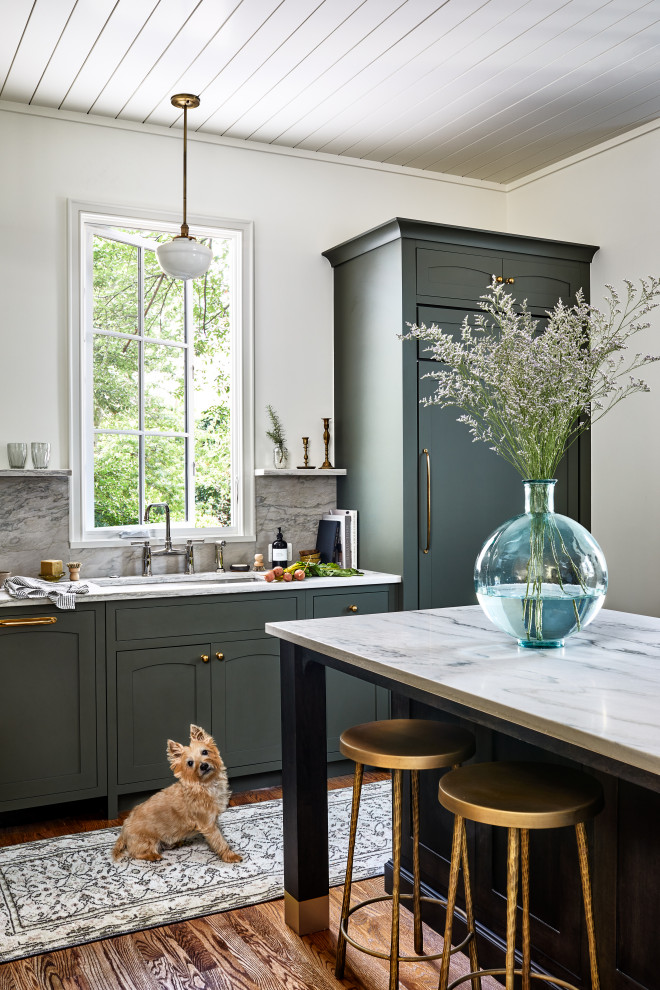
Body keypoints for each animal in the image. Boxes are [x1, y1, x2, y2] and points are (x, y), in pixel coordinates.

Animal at [113, 724, 242, 864]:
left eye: (205, 752)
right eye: (190, 763)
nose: (203, 765)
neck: (205, 785)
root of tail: (123, 831)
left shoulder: (213, 819)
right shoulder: (208, 824)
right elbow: (219, 841)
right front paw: (231, 856)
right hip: (147, 841)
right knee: (136, 853)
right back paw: (153, 856)